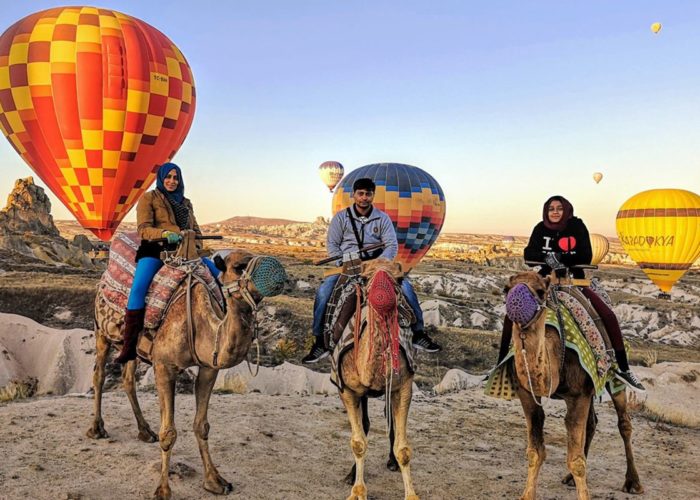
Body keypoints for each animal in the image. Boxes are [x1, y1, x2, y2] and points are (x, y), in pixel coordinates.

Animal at [87, 250, 284, 500]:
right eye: (239, 266)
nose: (278, 274)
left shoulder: (209, 368)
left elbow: (202, 425)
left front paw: (215, 481)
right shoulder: (164, 366)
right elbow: (169, 432)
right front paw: (163, 490)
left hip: (131, 348)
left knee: (128, 378)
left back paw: (145, 431)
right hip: (101, 331)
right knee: (99, 375)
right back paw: (97, 428)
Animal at [336, 260, 418, 500]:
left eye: (400, 278)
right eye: (363, 278)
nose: (382, 295)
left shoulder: (404, 386)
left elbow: (403, 449)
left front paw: (411, 494)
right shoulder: (347, 390)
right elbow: (358, 443)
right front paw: (357, 491)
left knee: (389, 420)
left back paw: (391, 462)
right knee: (365, 424)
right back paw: (351, 475)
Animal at [506, 272, 644, 500]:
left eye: (541, 291)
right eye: (506, 289)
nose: (516, 303)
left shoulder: (578, 394)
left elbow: (576, 461)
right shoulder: (527, 394)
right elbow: (535, 452)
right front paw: (526, 495)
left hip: (612, 377)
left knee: (624, 423)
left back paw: (633, 483)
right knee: (592, 423)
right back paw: (569, 478)